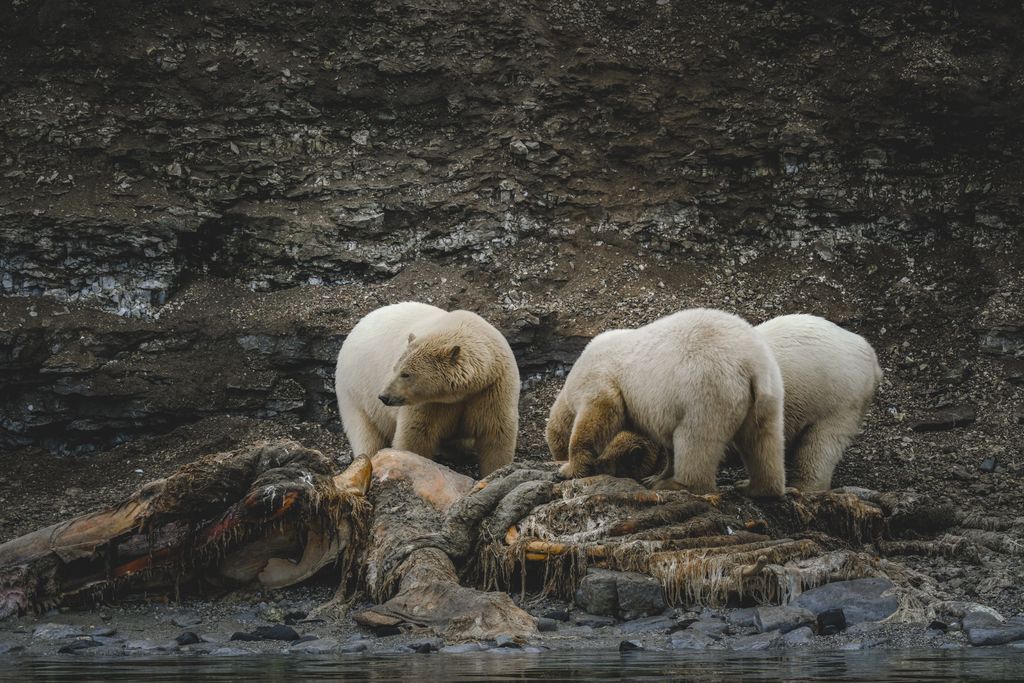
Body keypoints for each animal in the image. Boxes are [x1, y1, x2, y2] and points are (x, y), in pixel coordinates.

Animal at [335, 301, 519, 476]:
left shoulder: (491, 390)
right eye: (395, 369)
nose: (384, 396)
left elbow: (496, 435)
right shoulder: (430, 404)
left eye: (405, 374)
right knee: (365, 433)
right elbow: (416, 434)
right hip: (355, 391)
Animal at [546, 308, 786, 497]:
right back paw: (756, 487)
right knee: (763, 440)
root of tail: (750, 363)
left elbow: (599, 413)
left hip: (706, 388)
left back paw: (678, 484)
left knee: (695, 440)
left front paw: (568, 469)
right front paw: (654, 476)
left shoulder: (597, 378)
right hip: (767, 392)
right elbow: (667, 442)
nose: (557, 461)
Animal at [594, 313, 882, 493]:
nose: (596, 468)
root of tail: (868, 352)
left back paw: (803, 485)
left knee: (822, 442)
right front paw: (655, 476)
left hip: (837, 393)